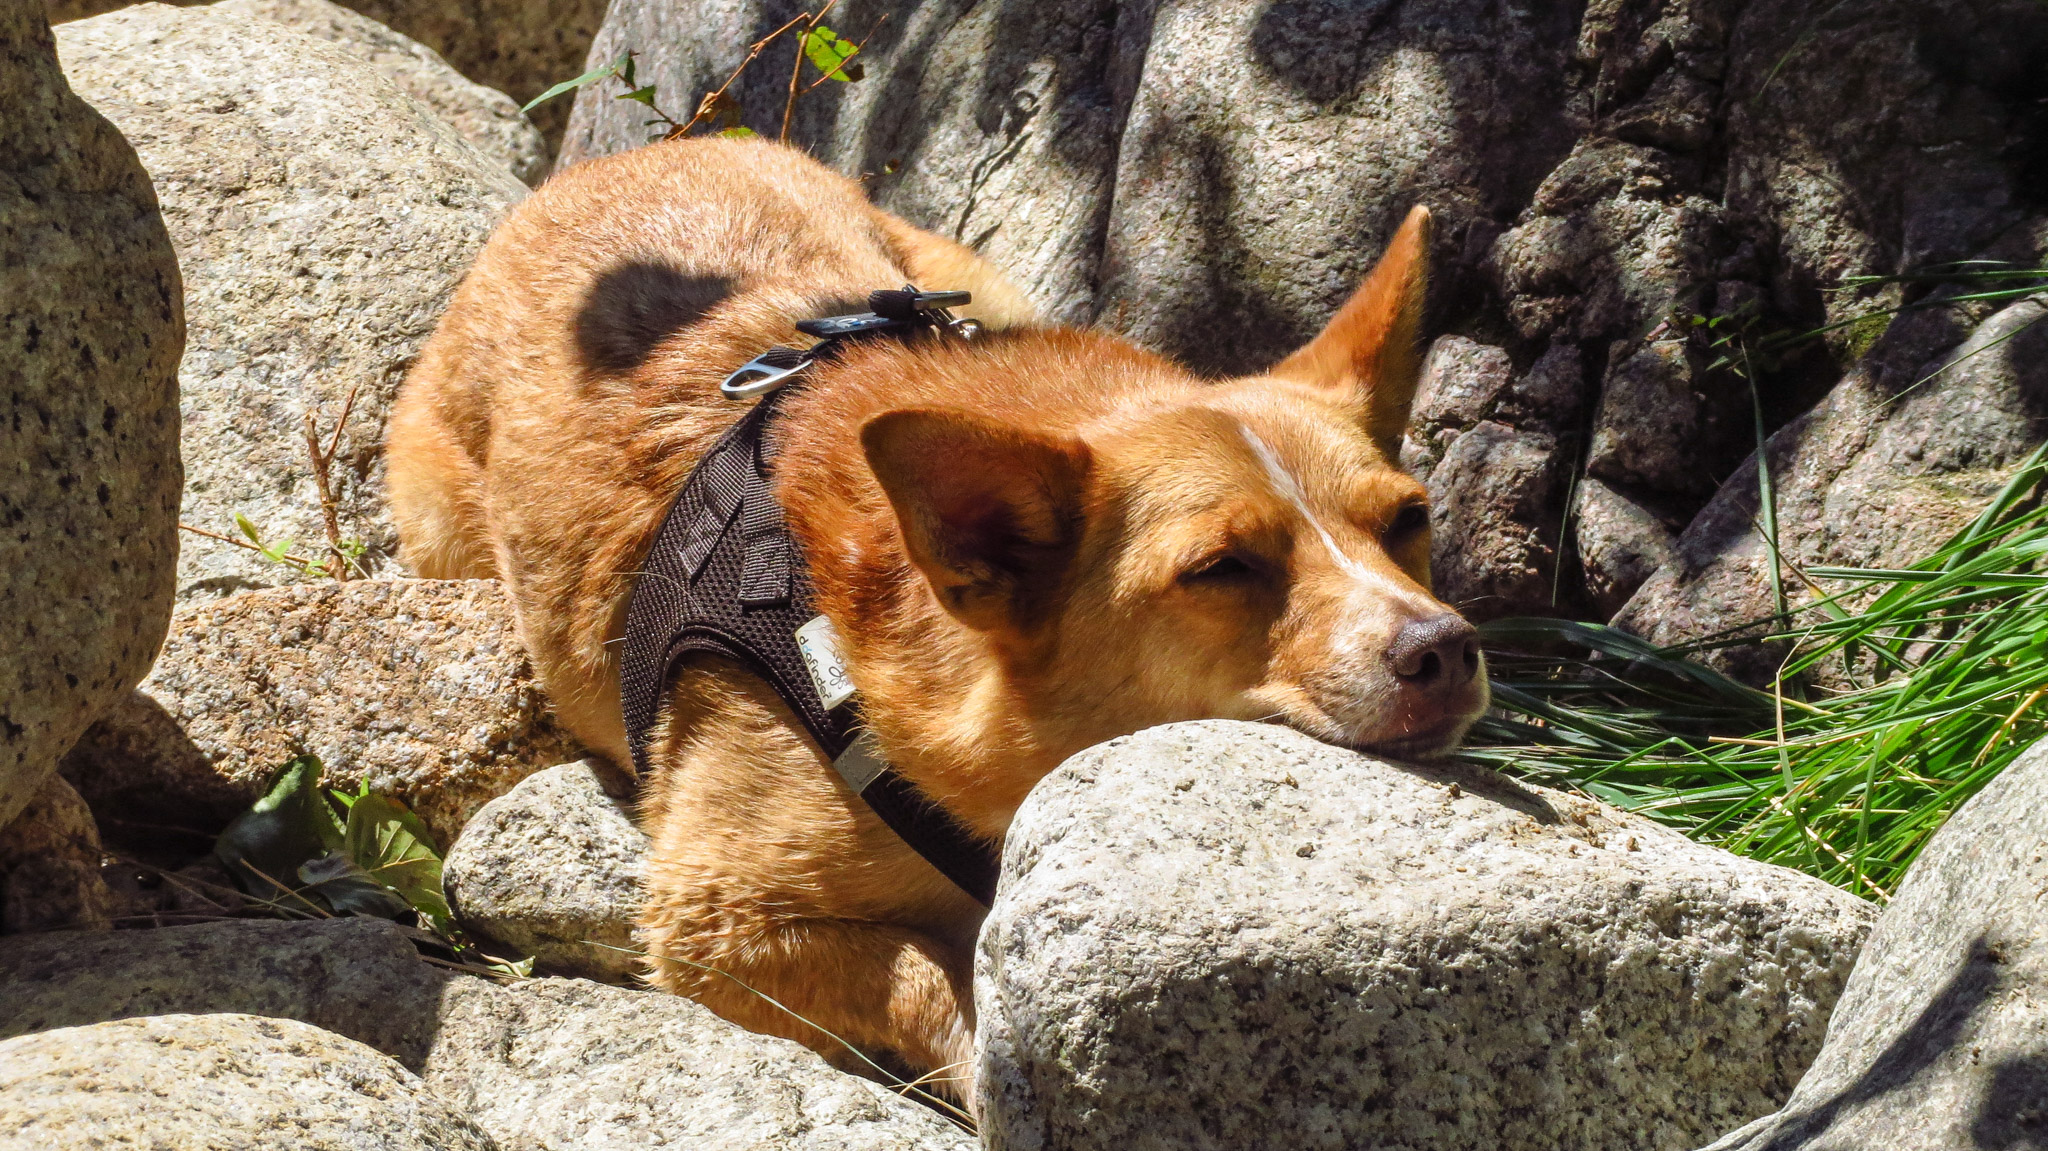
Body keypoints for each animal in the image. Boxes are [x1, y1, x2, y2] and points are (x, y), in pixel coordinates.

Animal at [385, 139, 1482, 1097]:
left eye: (1408, 518)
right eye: (1221, 568)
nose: (1443, 648)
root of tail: (614, 162)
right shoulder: (716, 919)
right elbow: (932, 976)